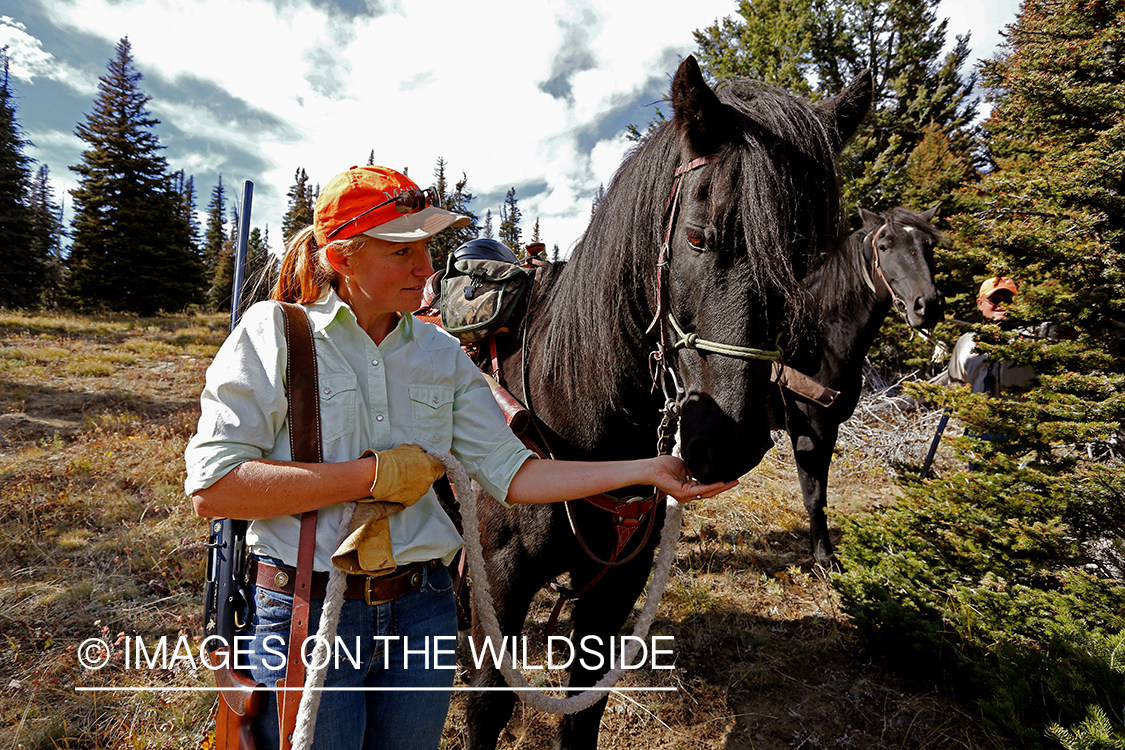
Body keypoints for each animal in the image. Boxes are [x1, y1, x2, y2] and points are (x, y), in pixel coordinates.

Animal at [461, 57, 873, 750]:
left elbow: (583, 714)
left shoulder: (615, 589)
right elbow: (487, 707)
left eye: (805, 260)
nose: (726, 440)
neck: (576, 435)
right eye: (699, 237)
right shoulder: (501, 577)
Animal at [774, 202, 940, 566]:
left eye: (929, 246)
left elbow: (820, 492)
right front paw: (825, 559)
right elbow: (813, 495)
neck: (818, 339)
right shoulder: (811, 427)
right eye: (885, 246)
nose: (928, 305)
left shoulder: (831, 426)